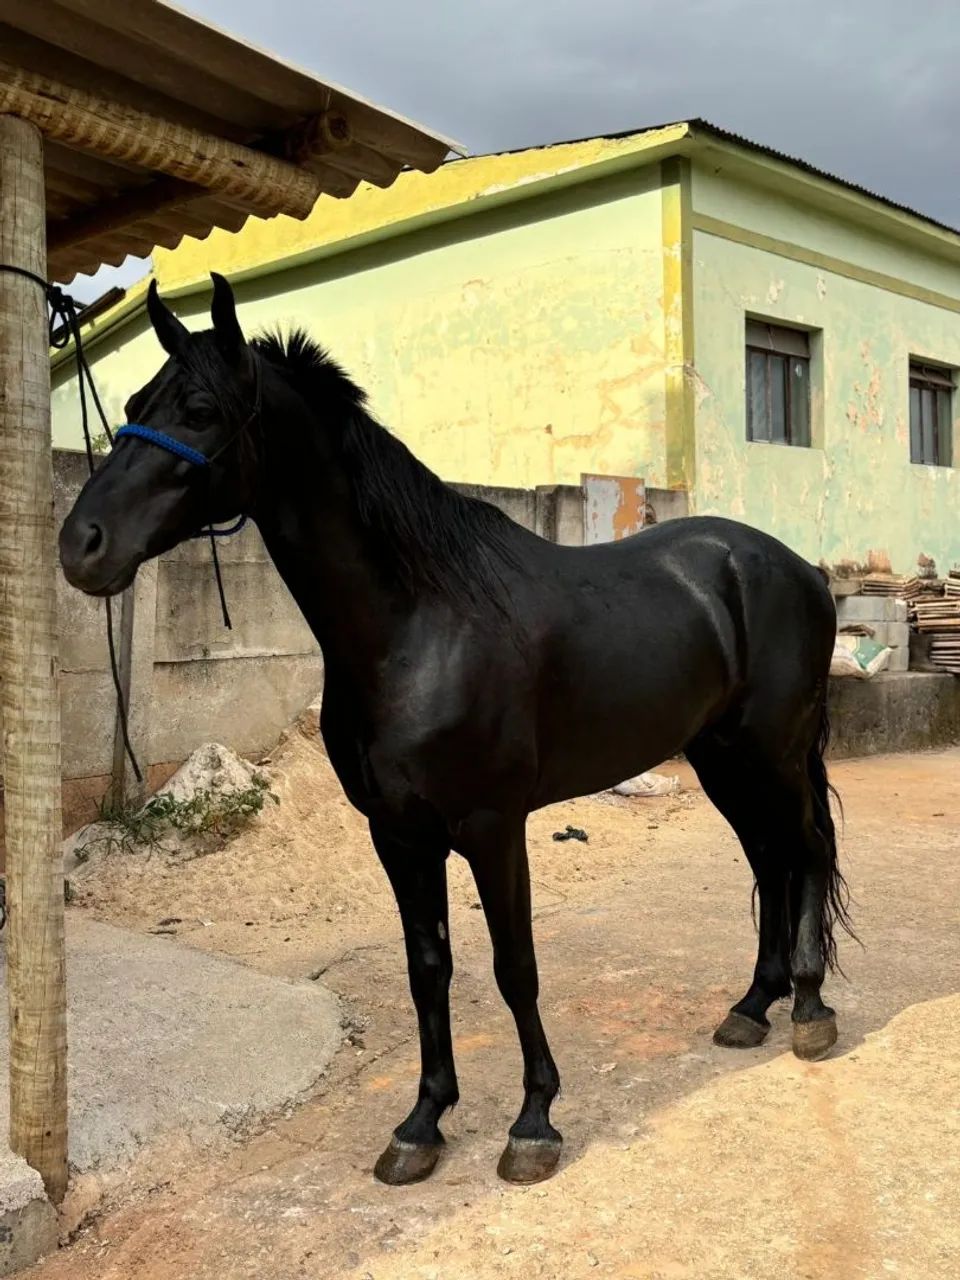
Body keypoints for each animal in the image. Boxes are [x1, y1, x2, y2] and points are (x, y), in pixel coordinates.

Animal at [60, 274, 851, 1187]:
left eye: (197, 409)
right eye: (132, 404)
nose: (80, 544)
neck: (420, 624)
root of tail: (796, 568)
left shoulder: (492, 827)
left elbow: (515, 967)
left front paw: (534, 1121)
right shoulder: (399, 834)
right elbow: (427, 968)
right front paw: (423, 1123)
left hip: (774, 752)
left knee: (806, 849)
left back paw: (810, 1007)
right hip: (722, 757)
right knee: (768, 857)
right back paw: (754, 1006)